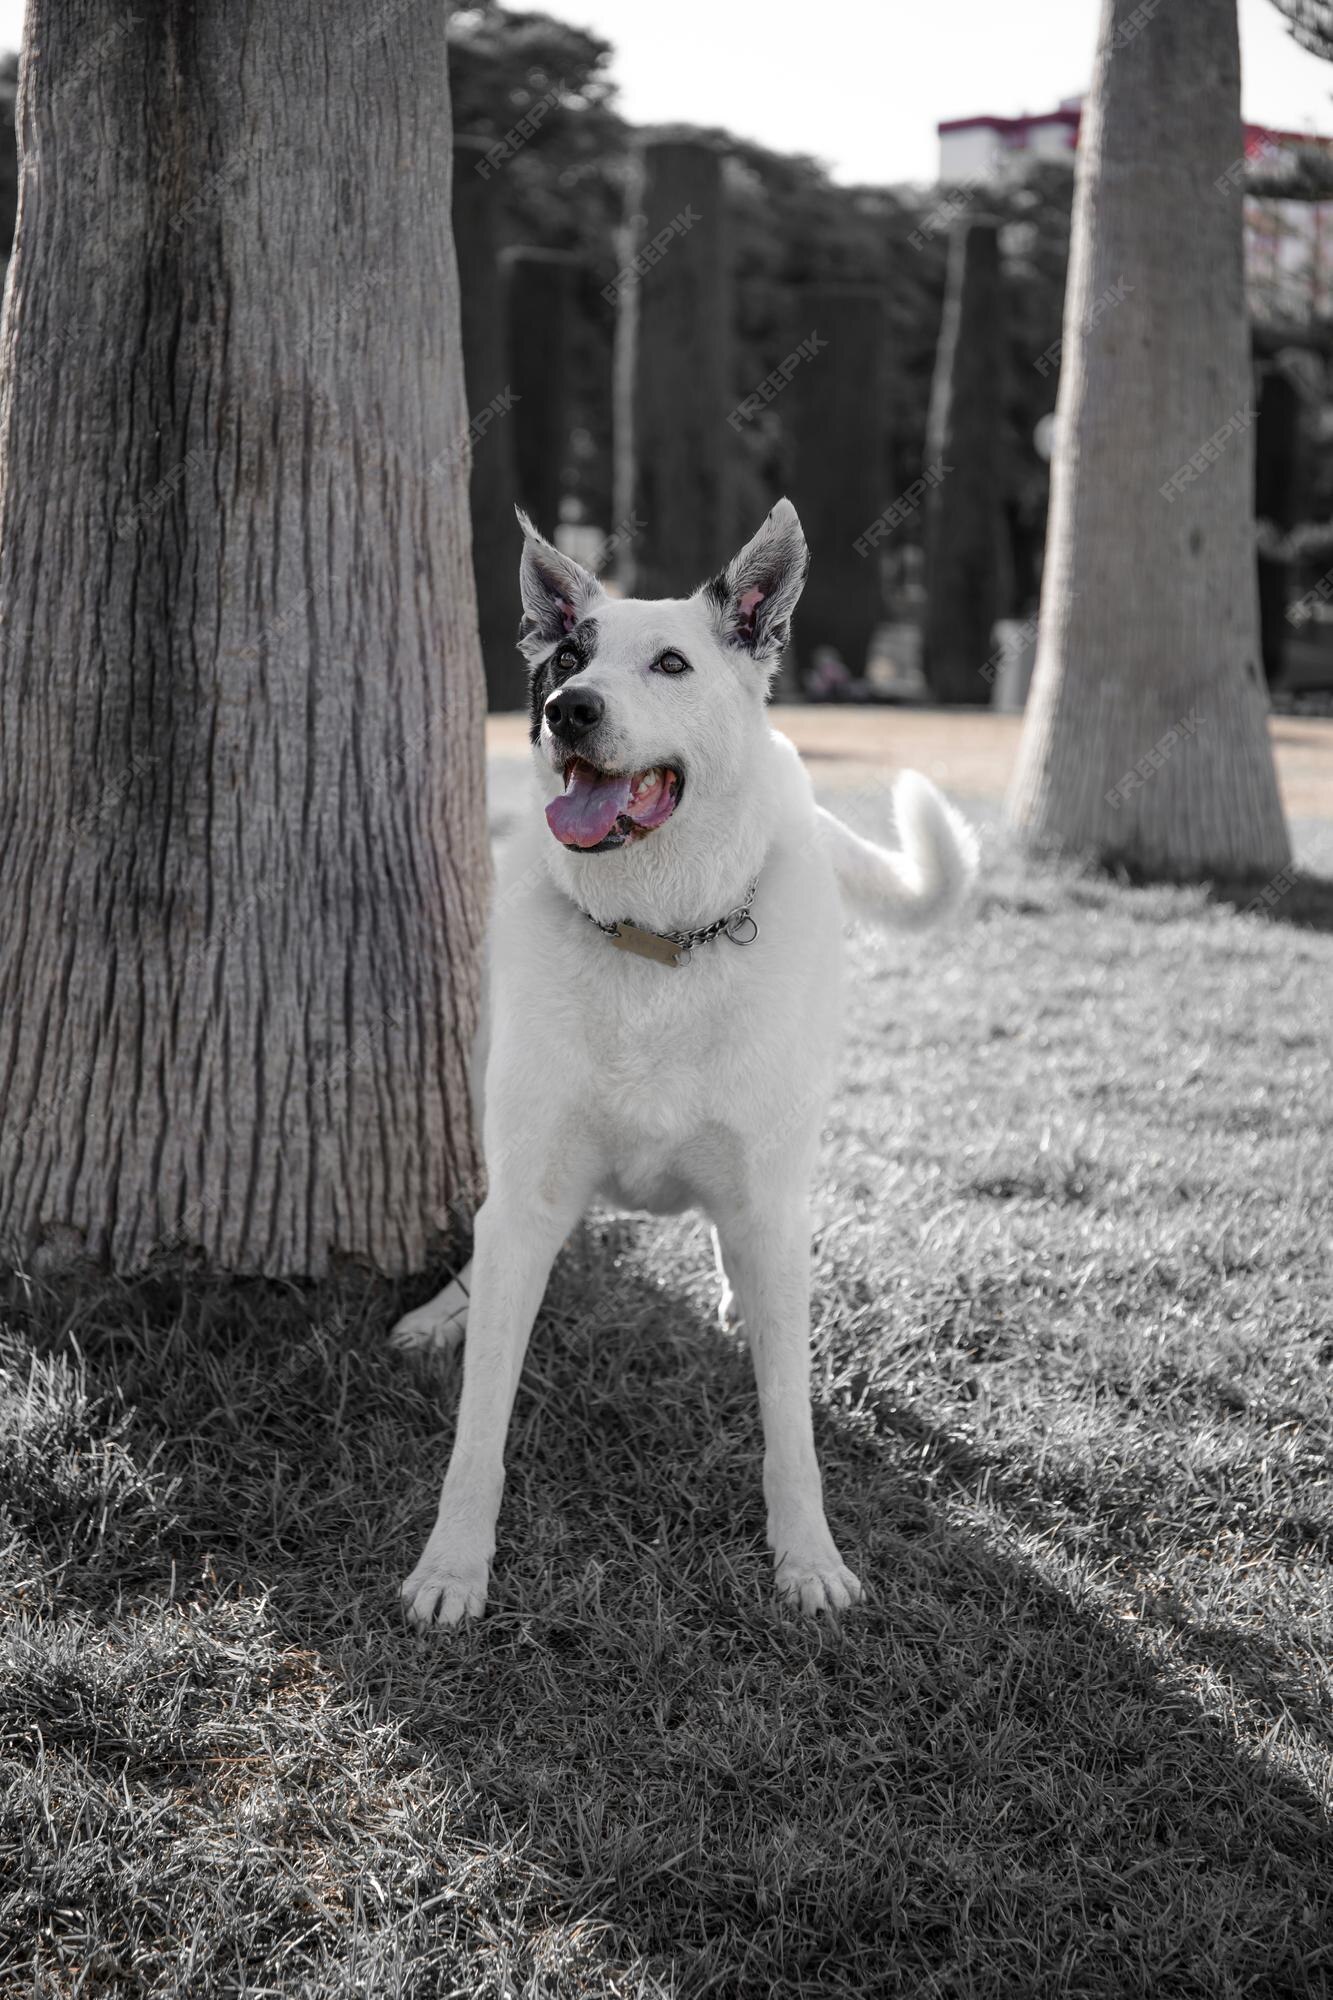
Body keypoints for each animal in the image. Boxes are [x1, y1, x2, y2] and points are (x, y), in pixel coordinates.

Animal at [390, 496, 972, 1624]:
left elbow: (790, 1426)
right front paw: (451, 1565)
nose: (567, 709)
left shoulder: (766, 1180)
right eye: (568, 654)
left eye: (669, 664)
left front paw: (806, 1558)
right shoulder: (529, 1190)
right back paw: (451, 1307)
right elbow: (480, 1424)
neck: (655, 935)